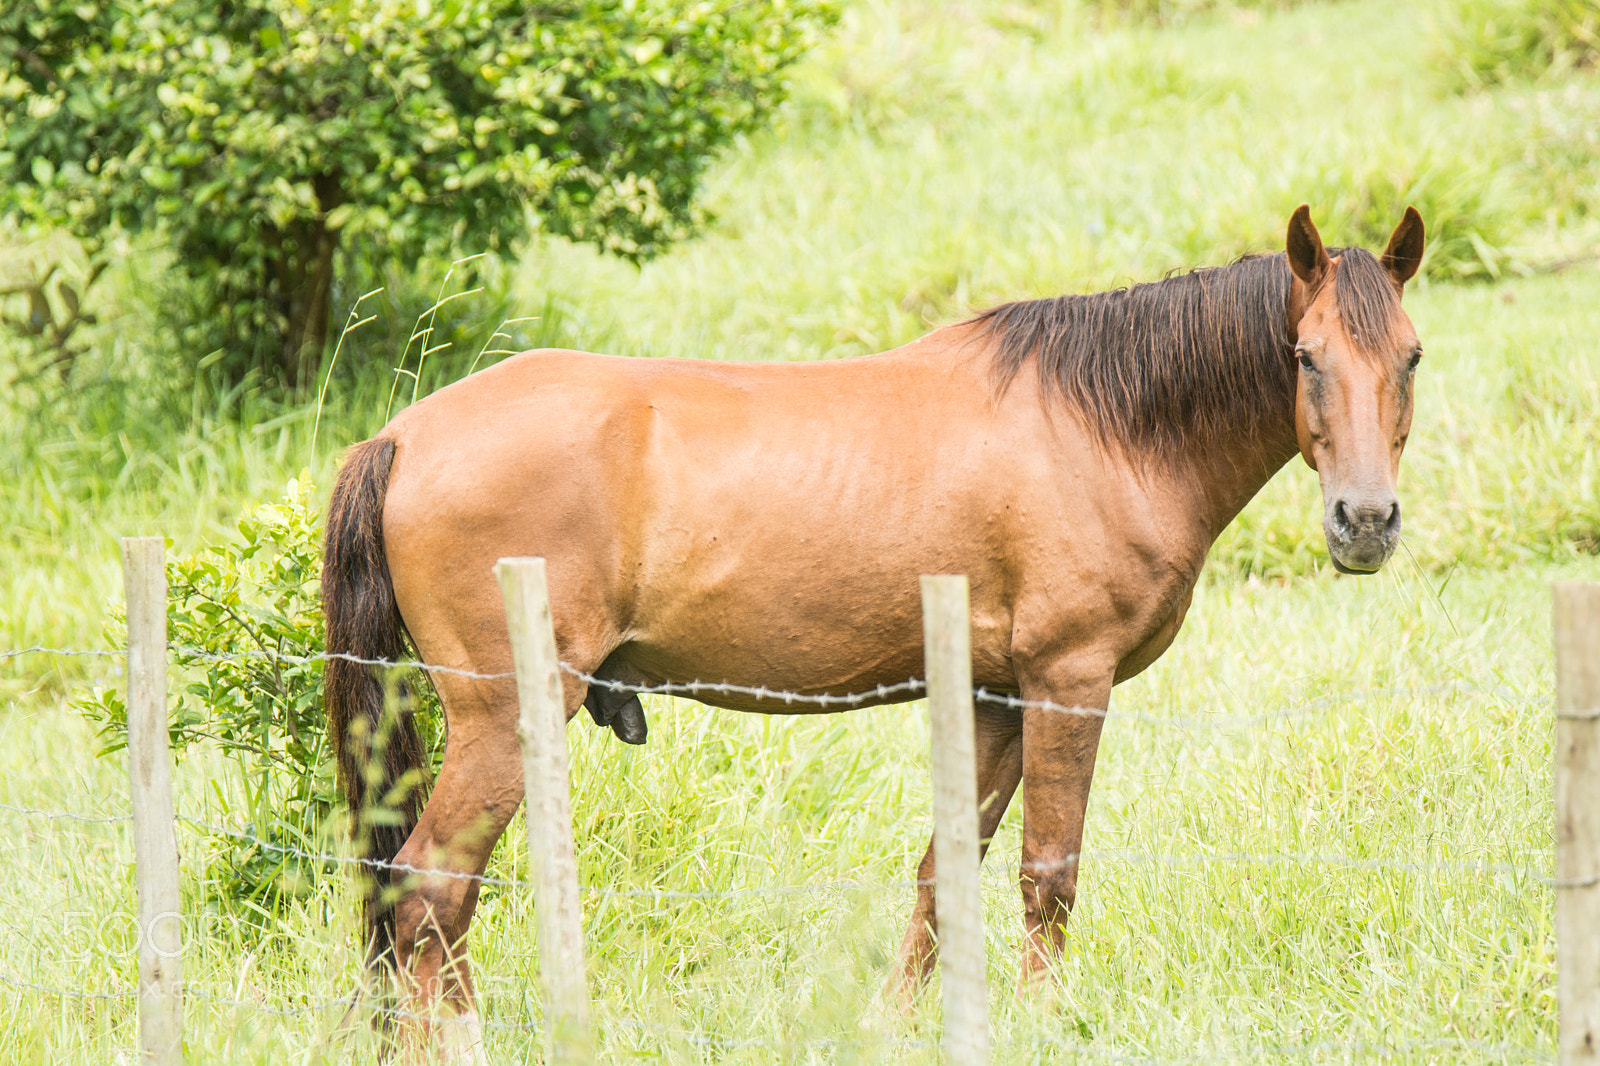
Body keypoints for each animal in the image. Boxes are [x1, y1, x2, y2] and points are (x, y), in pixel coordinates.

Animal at [321, 204, 1426, 1048]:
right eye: (1305, 357)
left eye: (1410, 358)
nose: (1365, 522)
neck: (1102, 427)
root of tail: (402, 434)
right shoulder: (1066, 683)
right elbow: (1047, 872)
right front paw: (1043, 1023)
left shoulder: (991, 696)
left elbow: (945, 870)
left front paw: (893, 1024)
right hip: (504, 718)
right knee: (431, 885)